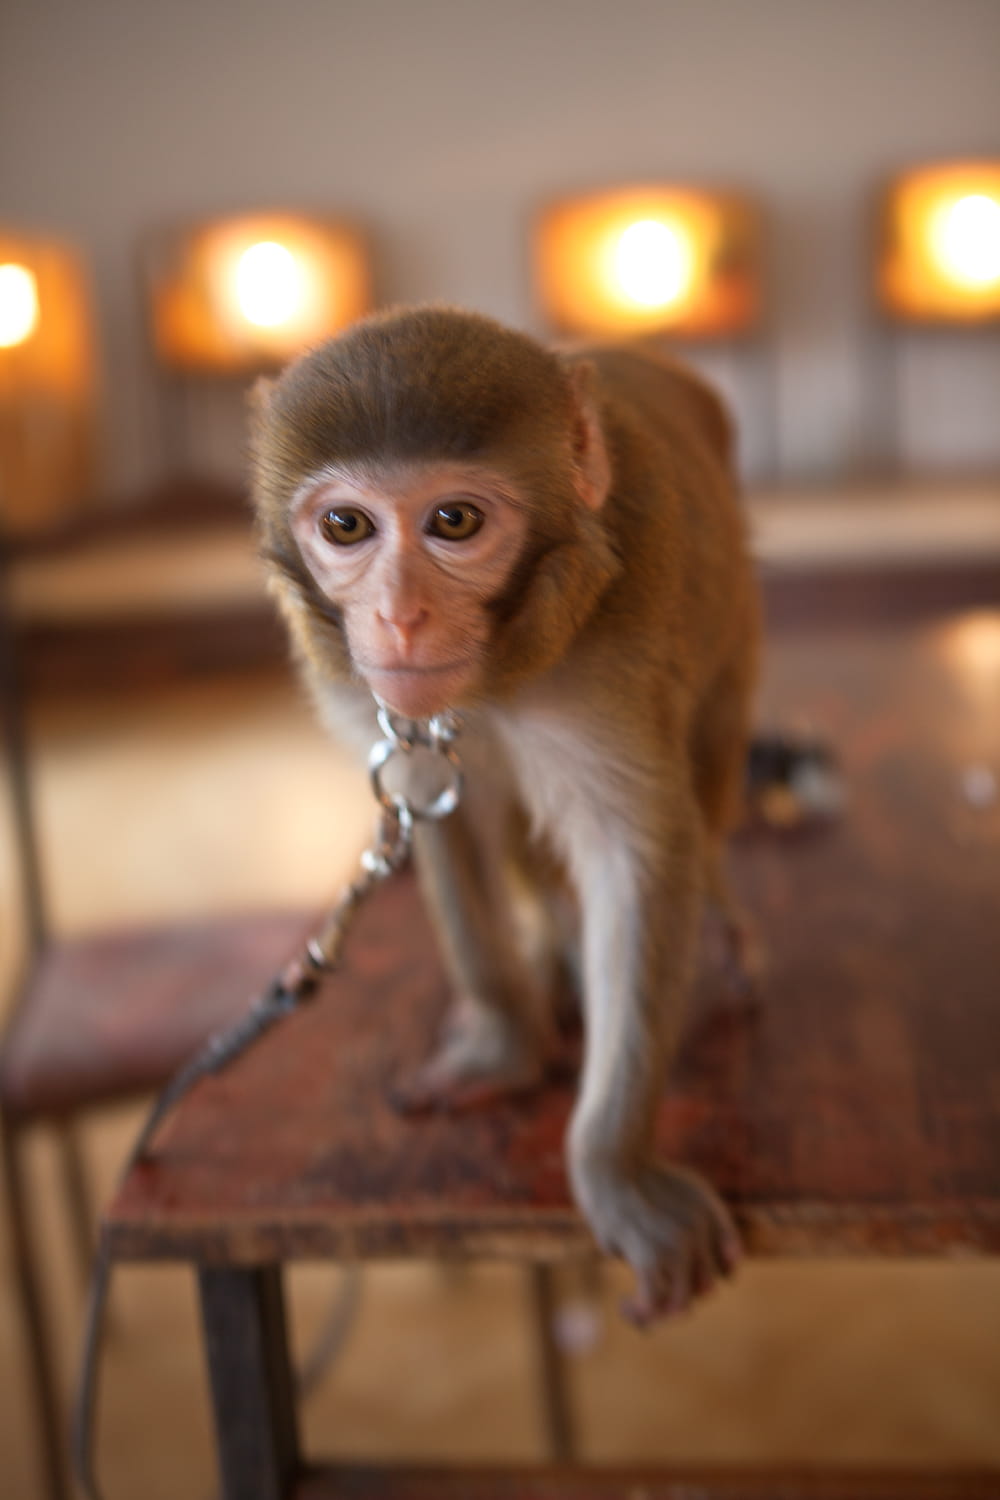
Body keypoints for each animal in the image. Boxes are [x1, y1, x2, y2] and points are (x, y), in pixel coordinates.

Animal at [250, 305, 760, 1324]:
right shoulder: (381, 702)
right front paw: (502, 1045)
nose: (399, 618)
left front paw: (616, 1170)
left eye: (455, 521)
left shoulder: (614, 654)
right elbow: (439, 812)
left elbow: (633, 856)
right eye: (346, 525)